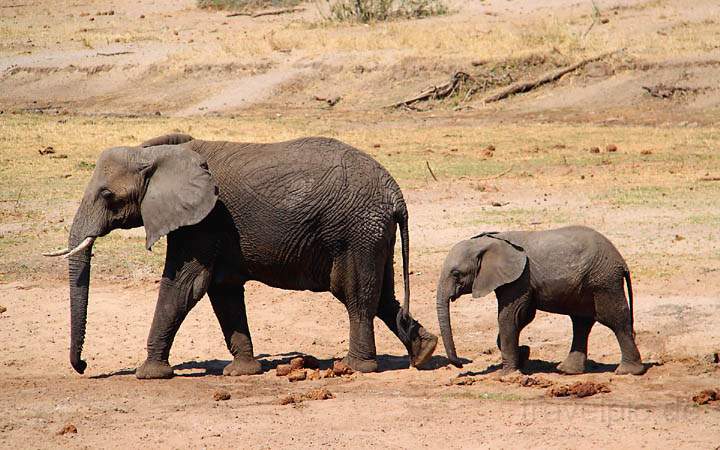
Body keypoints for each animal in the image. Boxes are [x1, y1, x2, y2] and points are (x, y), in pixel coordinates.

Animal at [47, 133, 438, 376]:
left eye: (107, 195)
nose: (83, 366)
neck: (157, 153)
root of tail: (395, 193)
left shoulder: (203, 221)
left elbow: (183, 285)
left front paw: (149, 374)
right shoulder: (212, 228)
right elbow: (223, 290)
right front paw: (242, 372)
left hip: (356, 231)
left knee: (356, 295)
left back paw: (353, 367)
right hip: (372, 234)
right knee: (383, 295)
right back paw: (424, 352)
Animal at [436, 225, 644, 376]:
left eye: (456, 273)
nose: (460, 365)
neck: (489, 241)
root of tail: (622, 262)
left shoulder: (520, 278)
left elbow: (511, 317)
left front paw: (507, 374)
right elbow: (523, 317)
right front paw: (523, 354)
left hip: (603, 282)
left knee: (615, 320)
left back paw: (628, 372)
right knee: (581, 323)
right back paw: (567, 371)